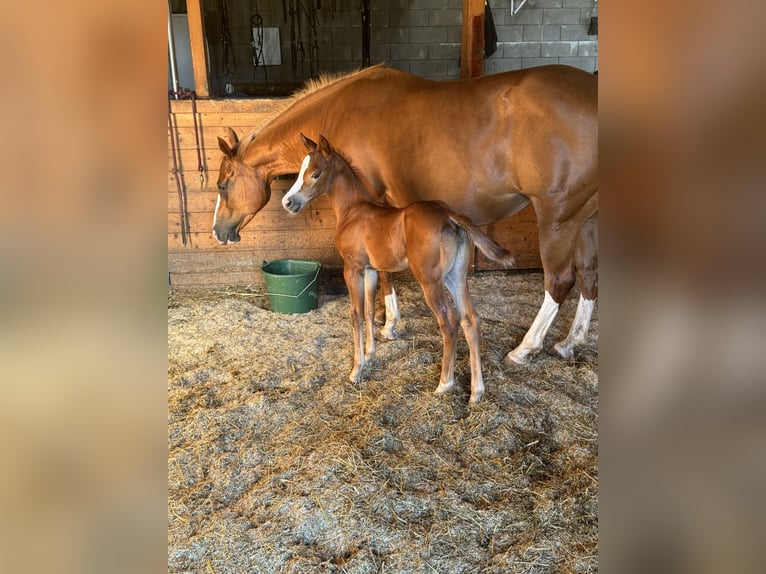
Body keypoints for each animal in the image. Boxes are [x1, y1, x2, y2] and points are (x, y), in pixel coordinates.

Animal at [282, 135, 516, 404]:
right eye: (300, 171)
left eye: (315, 174)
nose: (288, 202)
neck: (353, 210)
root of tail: (449, 214)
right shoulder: (371, 269)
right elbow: (369, 309)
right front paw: (370, 354)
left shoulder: (352, 268)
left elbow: (356, 313)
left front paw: (356, 370)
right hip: (456, 277)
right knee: (471, 319)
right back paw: (476, 392)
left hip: (430, 280)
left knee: (449, 321)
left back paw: (444, 383)